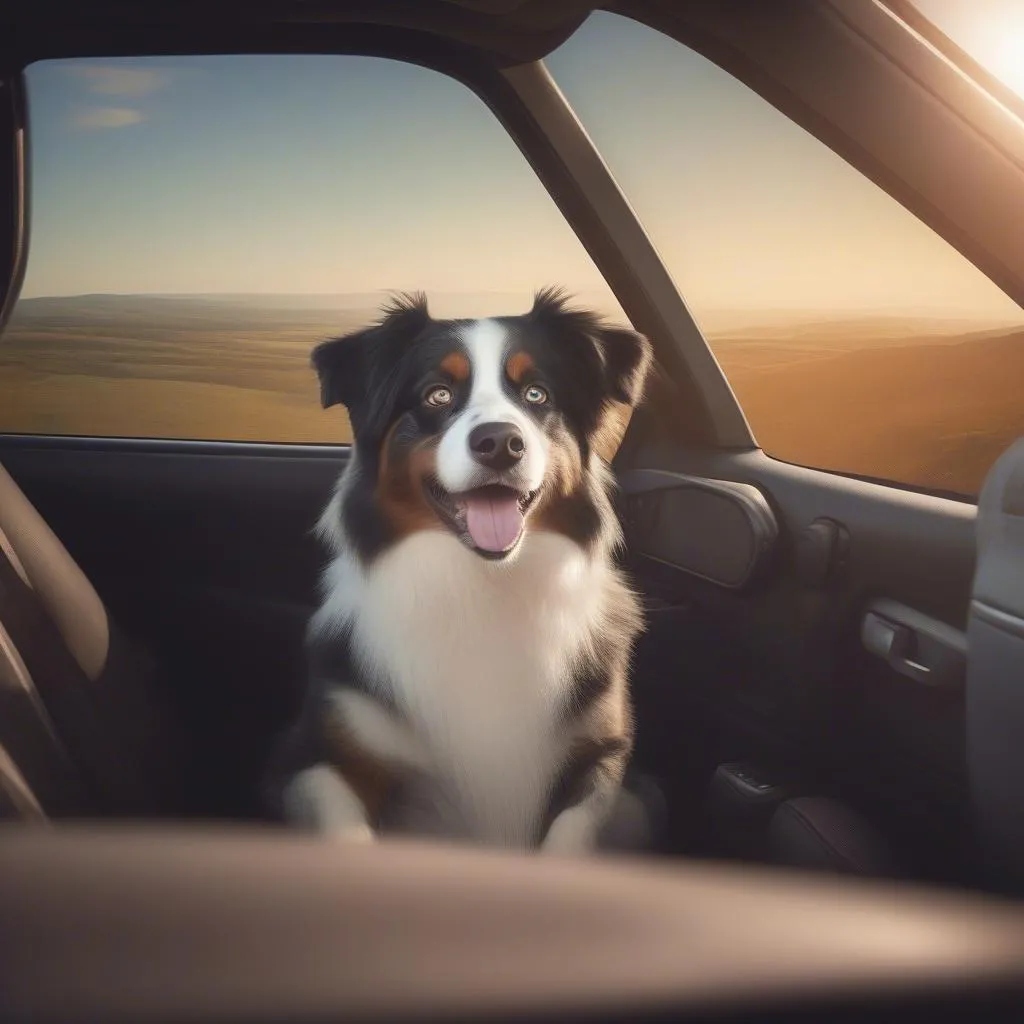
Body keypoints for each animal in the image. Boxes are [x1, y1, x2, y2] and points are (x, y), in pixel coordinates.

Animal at [270, 288, 655, 856]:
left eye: (537, 394)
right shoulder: (317, 753)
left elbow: (569, 838)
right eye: (437, 395)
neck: (480, 585)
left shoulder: (601, 753)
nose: (500, 443)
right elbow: (345, 829)